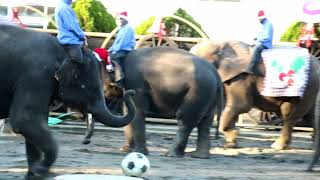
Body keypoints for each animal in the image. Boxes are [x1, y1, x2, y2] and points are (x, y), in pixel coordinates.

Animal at [0, 25, 136, 179]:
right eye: (88, 89)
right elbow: (25, 120)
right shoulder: (36, 76)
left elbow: (35, 124)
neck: (64, 51)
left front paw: (36, 174)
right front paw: (41, 171)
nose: (130, 92)